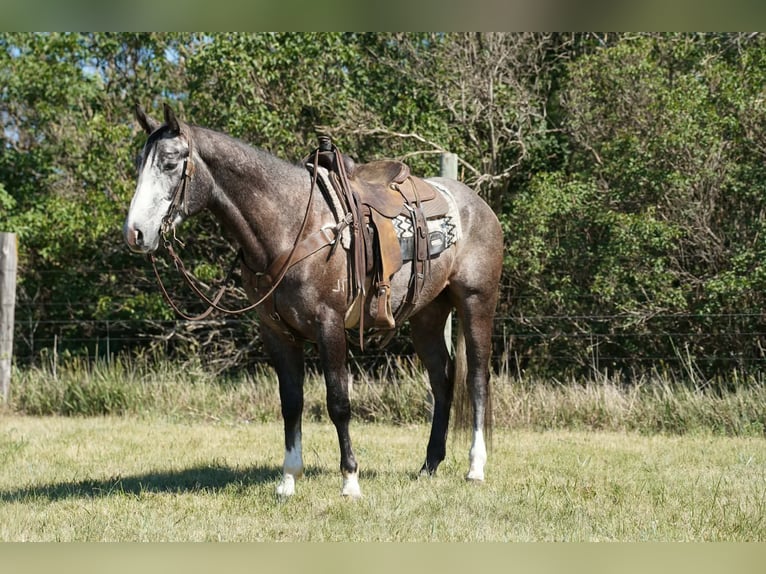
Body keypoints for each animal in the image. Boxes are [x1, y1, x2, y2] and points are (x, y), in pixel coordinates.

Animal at [123, 103, 503, 498]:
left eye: (170, 162)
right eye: (139, 163)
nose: (135, 233)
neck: (290, 226)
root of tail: (476, 203)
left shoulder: (328, 324)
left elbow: (338, 402)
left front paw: (350, 481)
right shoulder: (276, 332)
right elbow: (291, 403)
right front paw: (288, 480)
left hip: (477, 302)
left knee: (476, 378)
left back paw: (475, 467)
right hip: (427, 316)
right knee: (442, 380)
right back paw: (429, 465)